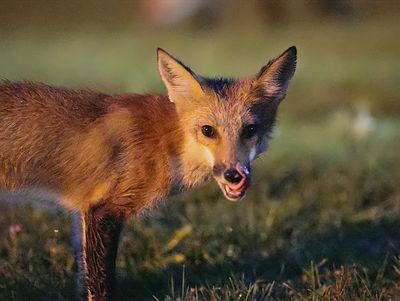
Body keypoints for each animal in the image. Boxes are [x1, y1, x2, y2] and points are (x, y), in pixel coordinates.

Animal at [0, 45, 296, 298]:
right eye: (208, 130)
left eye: (250, 130)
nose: (234, 175)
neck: (167, 141)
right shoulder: (104, 211)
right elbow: (101, 285)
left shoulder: (82, 211)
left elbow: (84, 278)